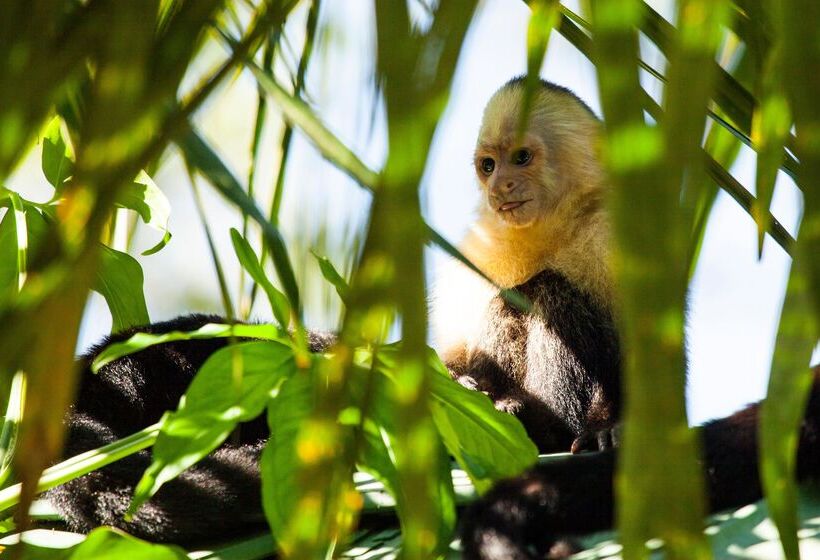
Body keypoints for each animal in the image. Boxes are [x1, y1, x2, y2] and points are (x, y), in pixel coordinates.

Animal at [44, 79, 820, 560]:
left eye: (523, 157)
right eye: (489, 164)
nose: (503, 186)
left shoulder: (617, 235)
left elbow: (648, 354)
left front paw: (612, 427)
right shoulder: (474, 244)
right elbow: (446, 357)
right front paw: (460, 385)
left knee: (548, 295)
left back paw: (545, 422)